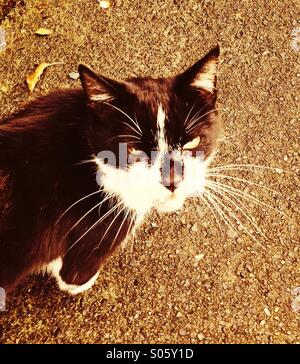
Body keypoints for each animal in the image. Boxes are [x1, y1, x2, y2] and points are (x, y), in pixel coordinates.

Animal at [0, 46, 220, 296]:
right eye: (133, 149)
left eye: (192, 142)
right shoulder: (95, 234)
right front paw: (80, 283)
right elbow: (72, 275)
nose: (172, 180)